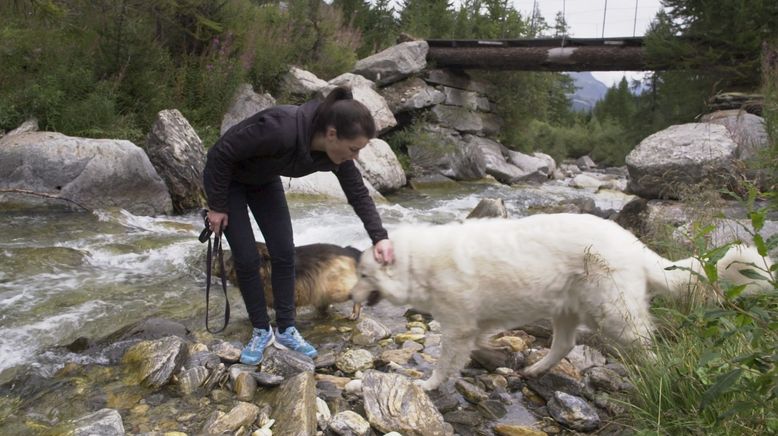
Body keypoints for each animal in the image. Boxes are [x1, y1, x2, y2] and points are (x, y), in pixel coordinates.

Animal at [350, 213, 768, 390]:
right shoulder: (473, 325)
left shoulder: (457, 326)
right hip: (566, 309)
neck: (418, 264)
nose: (348, 295)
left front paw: (430, 384)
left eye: (363, 275)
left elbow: (444, 361)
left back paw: (658, 375)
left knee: (645, 345)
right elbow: (477, 343)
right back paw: (536, 370)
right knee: (565, 344)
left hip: (614, 314)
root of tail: (633, 243)